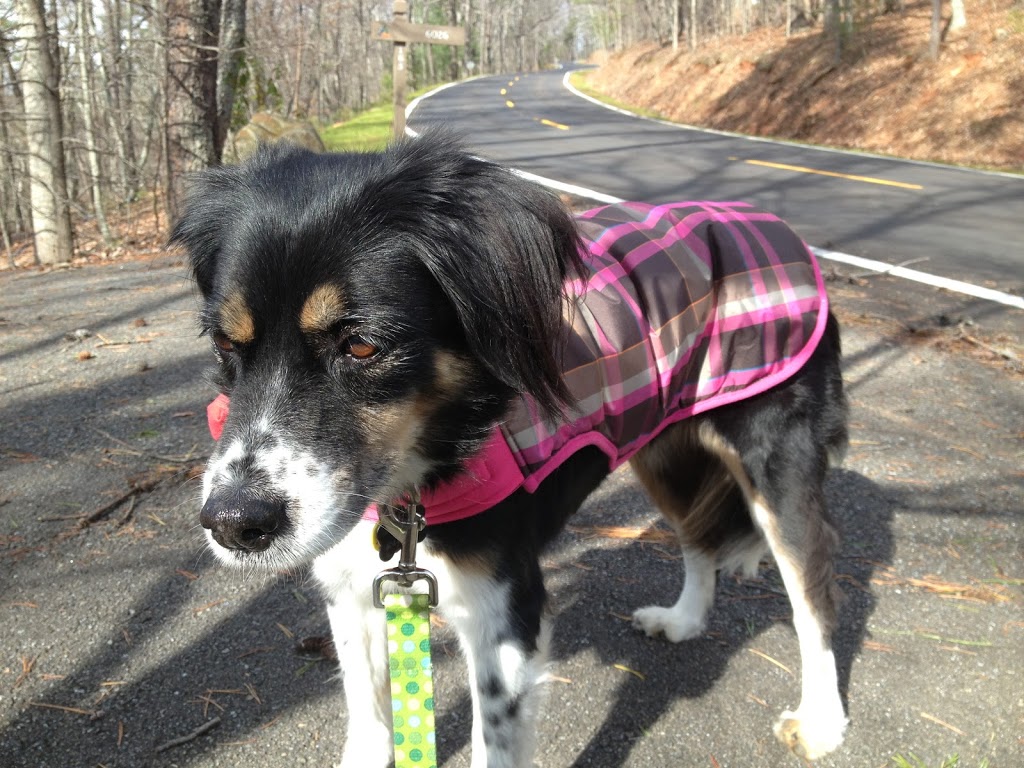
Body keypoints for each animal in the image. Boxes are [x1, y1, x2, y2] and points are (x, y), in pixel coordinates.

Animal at [171, 132, 849, 766]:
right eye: (225, 345)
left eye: (361, 344)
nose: (232, 524)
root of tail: (770, 223)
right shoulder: (350, 588)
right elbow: (368, 722)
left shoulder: (503, 609)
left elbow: (493, 741)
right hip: (662, 449)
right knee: (698, 535)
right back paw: (683, 620)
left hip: (778, 462)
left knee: (813, 589)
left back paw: (821, 720)